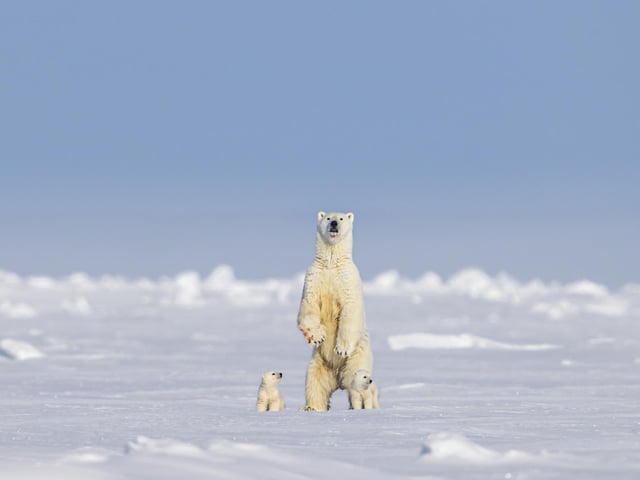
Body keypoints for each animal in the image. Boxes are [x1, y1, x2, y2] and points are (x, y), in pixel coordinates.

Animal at [297, 211, 373, 411]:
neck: (331, 264)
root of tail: (338, 380)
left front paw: (341, 349)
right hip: (318, 363)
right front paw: (317, 336)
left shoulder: (348, 279)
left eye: (341, 219)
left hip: (358, 362)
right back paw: (311, 407)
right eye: (327, 217)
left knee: (357, 382)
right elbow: (308, 306)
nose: (333, 224)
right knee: (315, 384)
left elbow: (350, 310)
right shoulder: (313, 277)